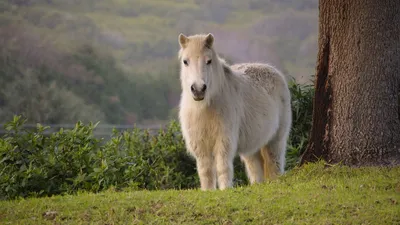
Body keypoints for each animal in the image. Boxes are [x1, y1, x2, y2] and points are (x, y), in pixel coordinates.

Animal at [177, 33, 292, 190]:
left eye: (209, 61)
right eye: (185, 61)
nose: (198, 89)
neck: (205, 107)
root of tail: (275, 72)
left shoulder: (224, 140)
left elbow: (222, 167)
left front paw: (225, 189)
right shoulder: (200, 144)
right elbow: (205, 171)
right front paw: (208, 191)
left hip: (275, 140)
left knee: (274, 164)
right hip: (252, 148)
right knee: (255, 169)